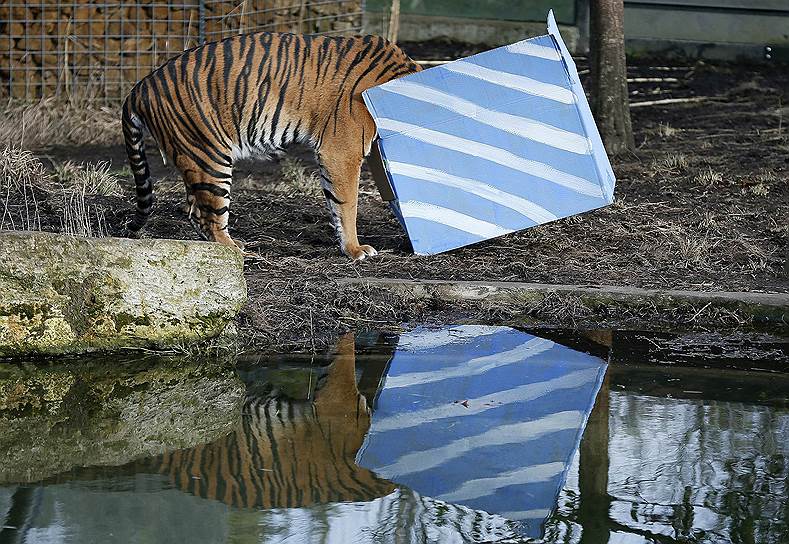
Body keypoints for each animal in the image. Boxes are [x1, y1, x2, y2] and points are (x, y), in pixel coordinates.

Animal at [121, 32, 422, 262]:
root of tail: (141, 86)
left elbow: (336, 202)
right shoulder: (341, 151)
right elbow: (347, 204)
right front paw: (355, 249)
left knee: (196, 213)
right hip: (210, 156)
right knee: (207, 216)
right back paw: (236, 253)